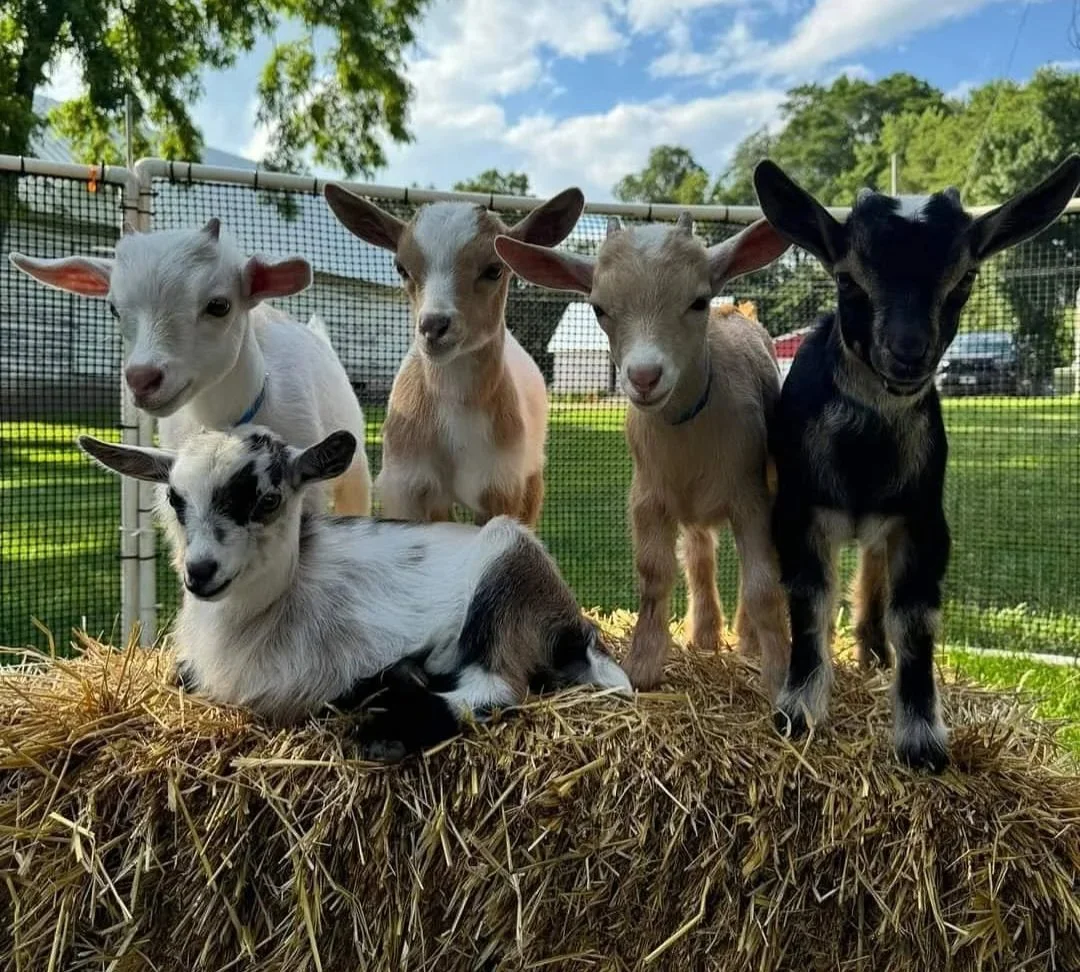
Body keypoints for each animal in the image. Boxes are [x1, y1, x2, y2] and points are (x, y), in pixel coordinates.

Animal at [77, 426, 631, 760]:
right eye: (175, 498)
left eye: (268, 499)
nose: (200, 572)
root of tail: (576, 625)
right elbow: (180, 678)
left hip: (507, 567)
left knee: (496, 688)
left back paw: (386, 725)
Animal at [323, 186, 584, 526]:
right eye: (401, 267)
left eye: (494, 269)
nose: (433, 326)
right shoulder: (407, 485)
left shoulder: (501, 484)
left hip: (531, 471)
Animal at [494, 214, 791, 694]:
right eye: (600, 308)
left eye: (698, 301)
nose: (644, 377)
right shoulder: (649, 495)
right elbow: (654, 574)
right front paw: (643, 667)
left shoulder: (751, 496)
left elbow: (762, 583)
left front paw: (782, 677)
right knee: (699, 555)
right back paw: (705, 637)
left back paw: (746, 643)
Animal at [753, 154, 1080, 771]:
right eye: (847, 277)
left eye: (965, 278)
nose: (908, 353)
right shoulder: (799, 511)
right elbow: (809, 602)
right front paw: (797, 710)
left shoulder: (923, 522)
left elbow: (914, 622)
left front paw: (922, 740)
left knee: (874, 581)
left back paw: (873, 653)